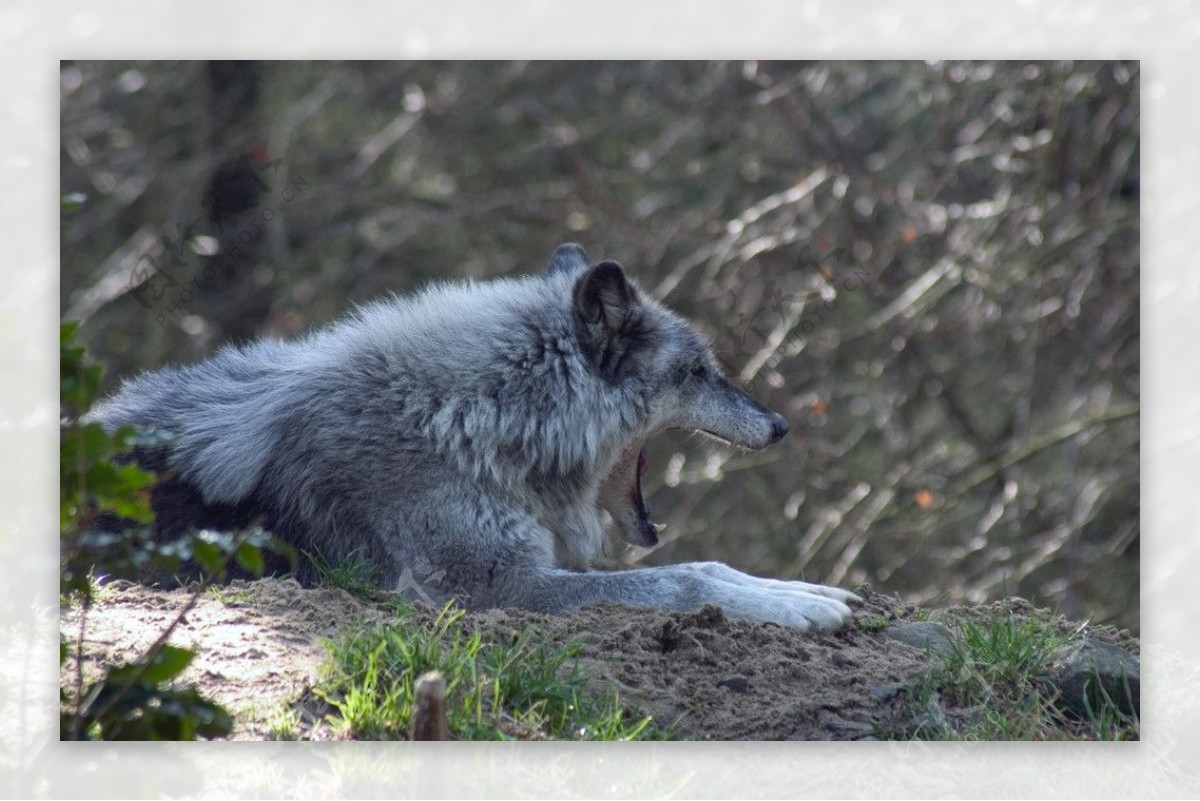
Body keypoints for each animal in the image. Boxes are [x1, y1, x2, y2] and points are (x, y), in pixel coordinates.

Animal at [93, 244, 864, 633]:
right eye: (700, 371)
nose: (781, 425)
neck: (473, 417)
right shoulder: (494, 588)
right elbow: (683, 576)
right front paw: (798, 609)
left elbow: (711, 565)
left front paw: (801, 588)